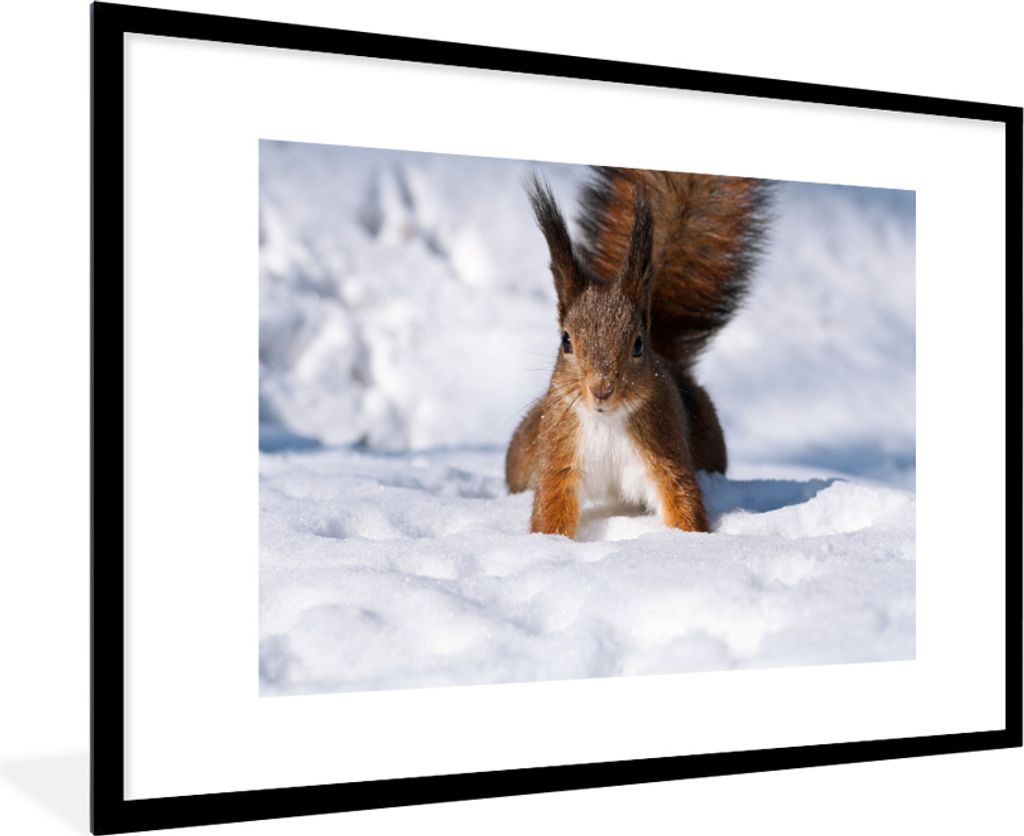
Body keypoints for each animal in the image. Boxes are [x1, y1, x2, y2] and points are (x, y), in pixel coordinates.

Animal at [505, 166, 771, 537]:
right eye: (566, 341)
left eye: (638, 344)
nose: (602, 389)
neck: (607, 423)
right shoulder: (561, 456)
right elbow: (552, 505)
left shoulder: (663, 453)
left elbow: (681, 498)